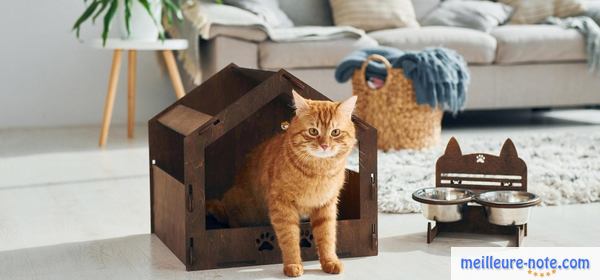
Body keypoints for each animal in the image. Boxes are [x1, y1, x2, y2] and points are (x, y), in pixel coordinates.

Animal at [206, 89, 356, 276]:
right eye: (313, 131)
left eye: (335, 132)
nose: (324, 146)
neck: (317, 172)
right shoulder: (282, 207)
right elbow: (290, 239)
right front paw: (293, 264)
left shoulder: (326, 206)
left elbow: (327, 237)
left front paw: (330, 261)